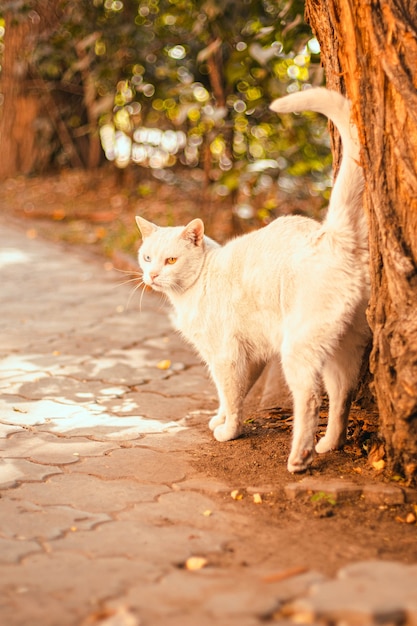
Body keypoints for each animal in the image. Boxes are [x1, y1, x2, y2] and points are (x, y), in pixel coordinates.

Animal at [136, 86, 368, 468]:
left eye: (170, 260)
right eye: (146, 257)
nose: (152, 275)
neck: (190, 292)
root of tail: (332, 235)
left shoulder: (226, 355)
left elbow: (231, 394)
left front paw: (229, 430)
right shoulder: (252, 355)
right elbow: (232, 394)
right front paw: (220, 418)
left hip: (299, 348)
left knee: (311, 398)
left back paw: (300, 457)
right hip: (342, 349)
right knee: (341, 395)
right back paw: (329, 444)